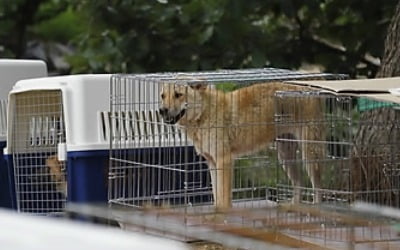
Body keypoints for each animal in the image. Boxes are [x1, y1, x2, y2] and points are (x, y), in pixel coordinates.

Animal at [158, 81, 324, 210]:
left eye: (178, 95)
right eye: (162, 96)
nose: (161, 110)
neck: (204, 113)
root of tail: (310, 91)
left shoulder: (224, 161)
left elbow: (223, 197)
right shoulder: (212, 163)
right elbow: (216, 194)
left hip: (310, 154)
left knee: (318, 187)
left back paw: (316, 209)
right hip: (286, 156)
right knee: (299, 182)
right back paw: (294, 206)